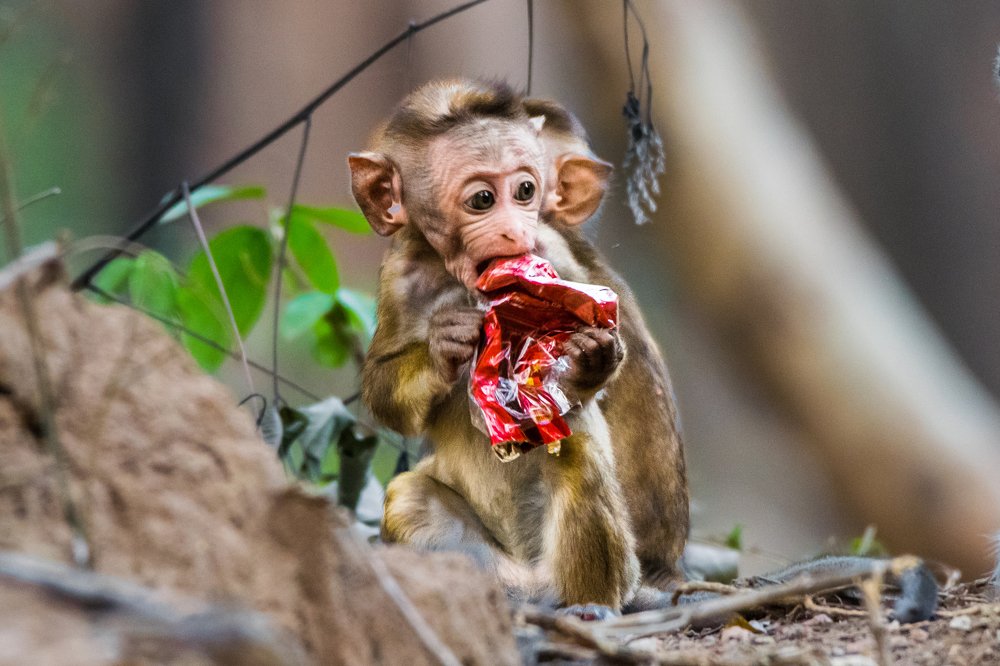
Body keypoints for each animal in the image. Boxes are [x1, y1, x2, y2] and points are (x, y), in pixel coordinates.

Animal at [349, 79, 688, 619]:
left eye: (525, 191)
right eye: (483, 199)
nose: (515, 229)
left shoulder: (553, 249)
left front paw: (586, 362)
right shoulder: (398, 274)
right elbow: (384, 388)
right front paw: (446, 343)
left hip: (608, 571)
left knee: (576, 451)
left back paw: (591, 604)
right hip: (496, 566)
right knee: (407, 497)